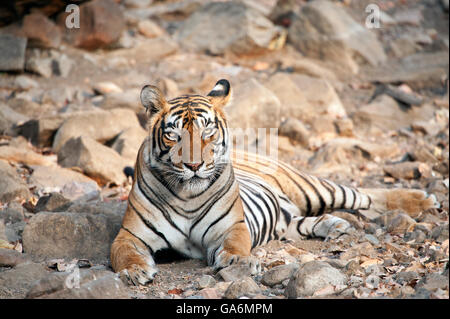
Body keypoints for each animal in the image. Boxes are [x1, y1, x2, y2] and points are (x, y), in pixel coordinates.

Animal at [110, 79, 440, 286]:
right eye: (173, 135)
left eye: (208, 132)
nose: (193, 166)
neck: (187, 196)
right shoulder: (129, 234)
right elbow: (123, 253)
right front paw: (134, 272)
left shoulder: (232, 226)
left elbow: (236, 244)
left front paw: (238, 261)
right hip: (289, 217)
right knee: (305, 221)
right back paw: (334, 225)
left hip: (313, 188)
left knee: (363, 194)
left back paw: (422, 199)